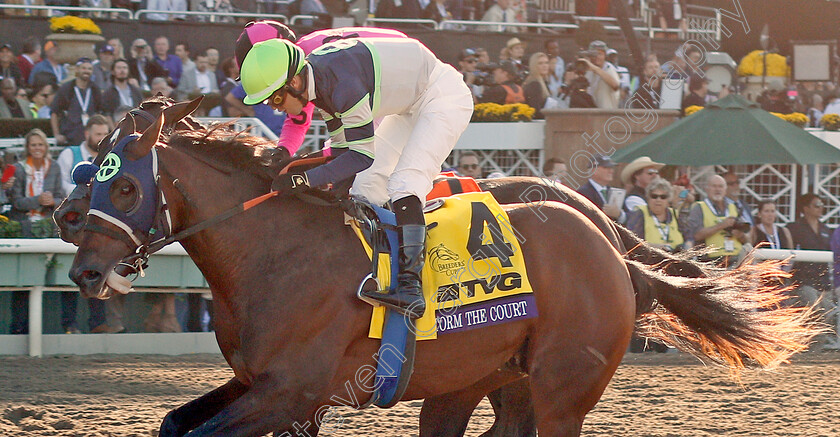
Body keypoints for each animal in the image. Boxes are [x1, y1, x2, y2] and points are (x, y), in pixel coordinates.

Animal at [67, 117, 820, 434]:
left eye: (126, 186)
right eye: (84, 174)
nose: (86, 270)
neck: (273, 253)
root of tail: (612, 250)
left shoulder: (291, 390)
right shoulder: (262, 385)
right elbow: (172, 423)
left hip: (563, 391)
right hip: (481, 381)